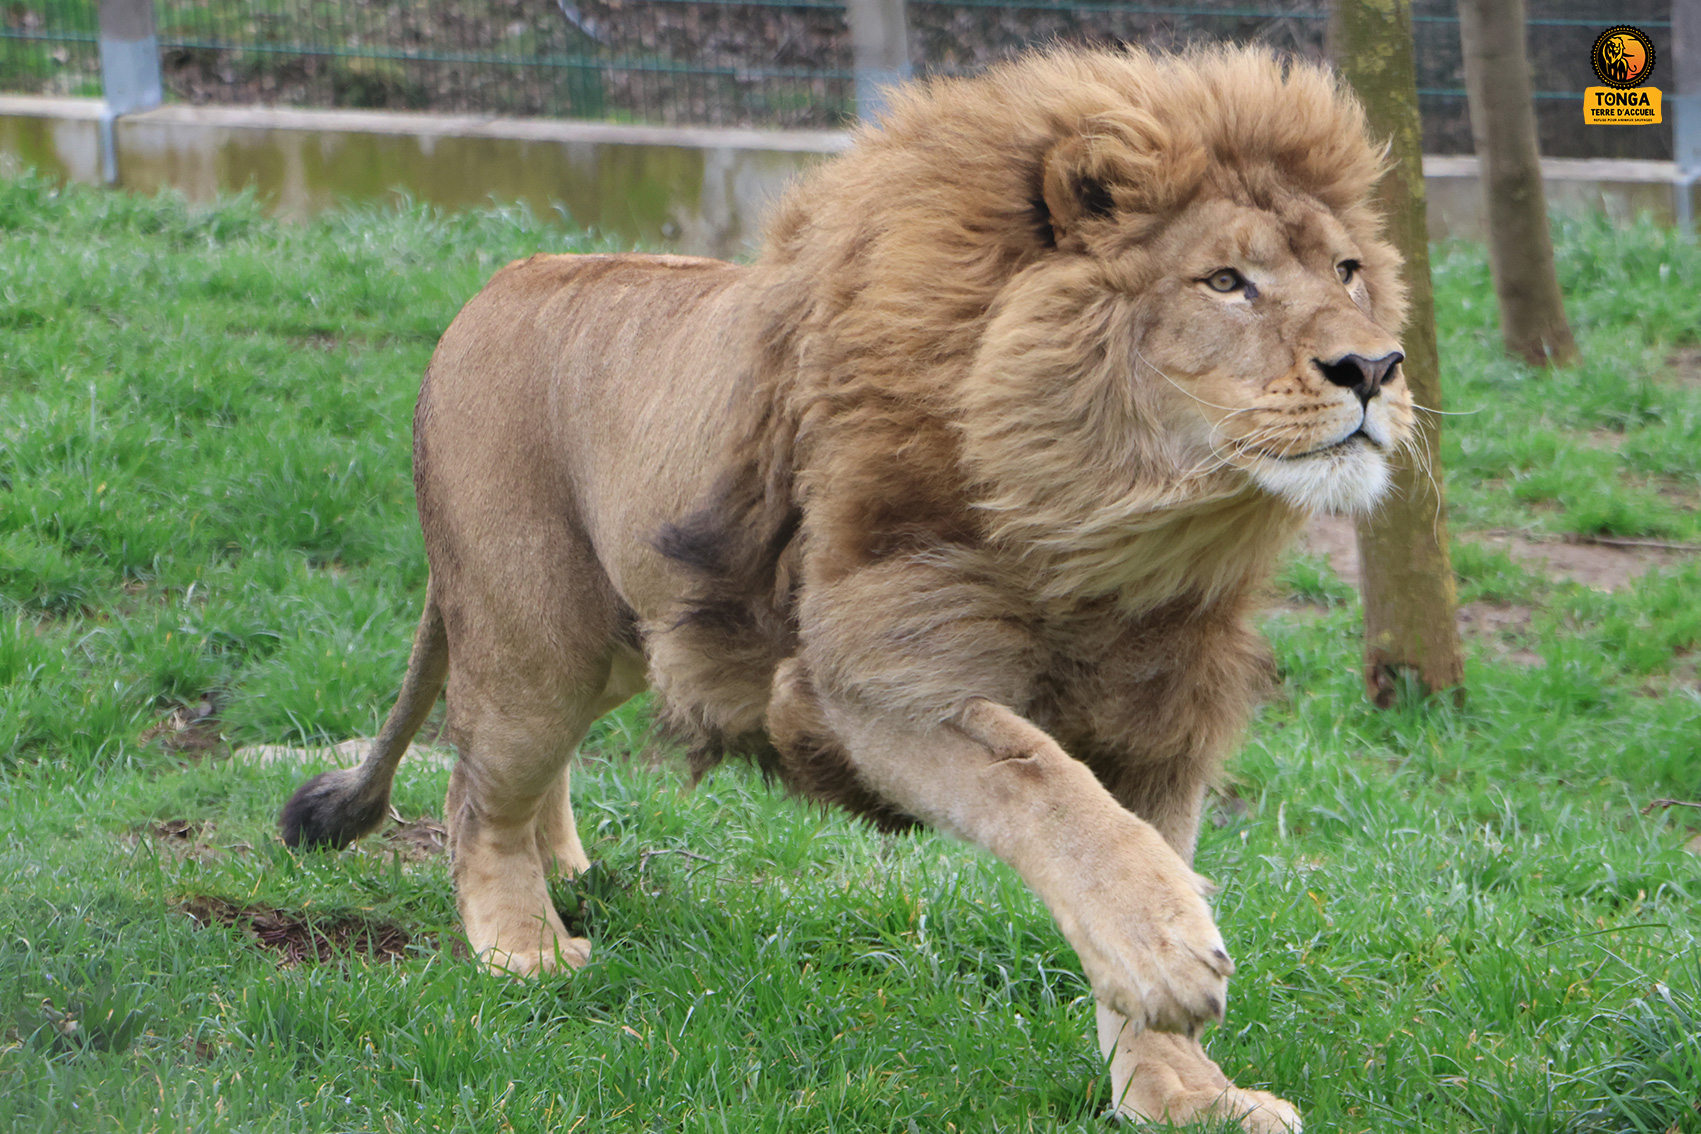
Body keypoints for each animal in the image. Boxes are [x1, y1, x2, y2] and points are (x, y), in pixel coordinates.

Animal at [280, 46, 1414, 1131]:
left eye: (1348, 271)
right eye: (1225, 281)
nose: (1376, 366)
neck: (1117, 529)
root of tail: (493, 285)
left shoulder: (1159, 710)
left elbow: (1136, 842)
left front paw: (1180, 1092)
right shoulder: (869, 682)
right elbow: (1049, 791)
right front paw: (1170, 960)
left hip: (625, 639)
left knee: (524, 776)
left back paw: (565, 872)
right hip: (533, 642)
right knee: (477, 790)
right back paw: (523, 943)